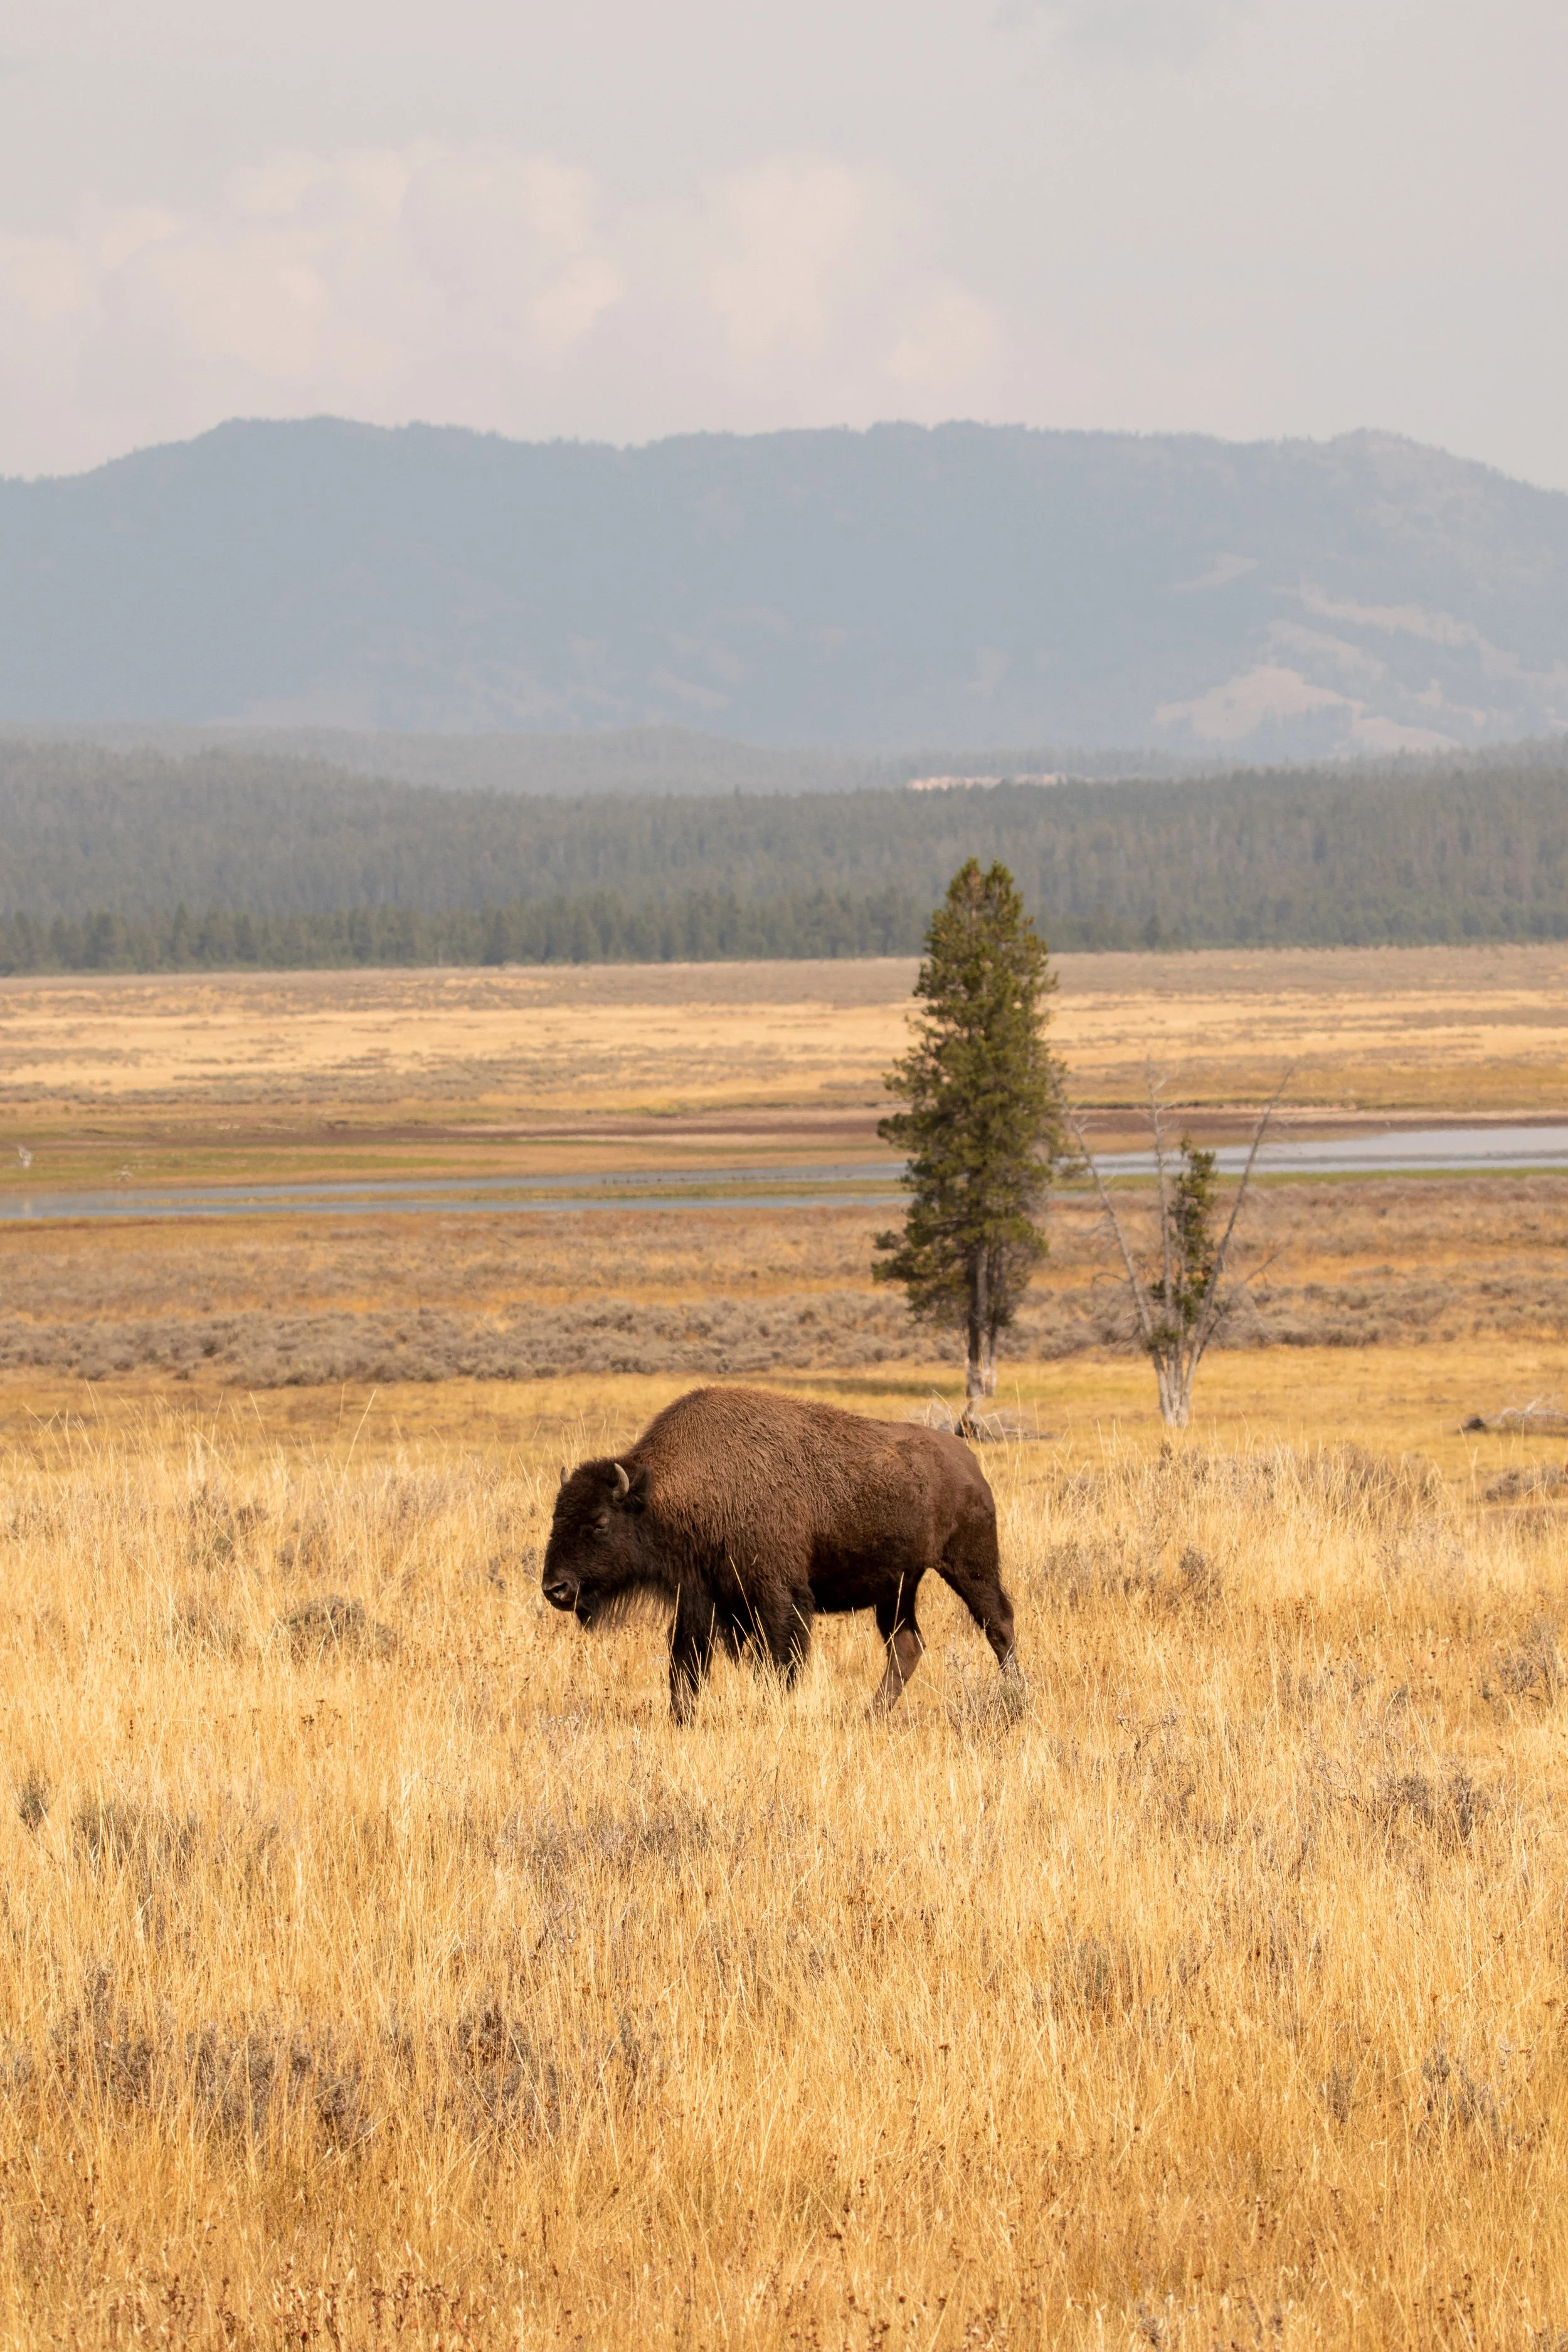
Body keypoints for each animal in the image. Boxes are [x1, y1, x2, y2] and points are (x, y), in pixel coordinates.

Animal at [541, 1384, 1018, 1720]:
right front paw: (682, 1719)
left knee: (998, 1624)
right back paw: (872, 1714)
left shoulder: (776, 1595)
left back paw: (1016, 1701)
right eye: (556, 1516)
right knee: (906, 1644)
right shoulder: (698, 1598)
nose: (555, 1588)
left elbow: (780, 1662)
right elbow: (686, 1665)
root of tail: (968, 1462)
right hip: (900, 1586)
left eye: (600, 1523)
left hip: (969, 1566)